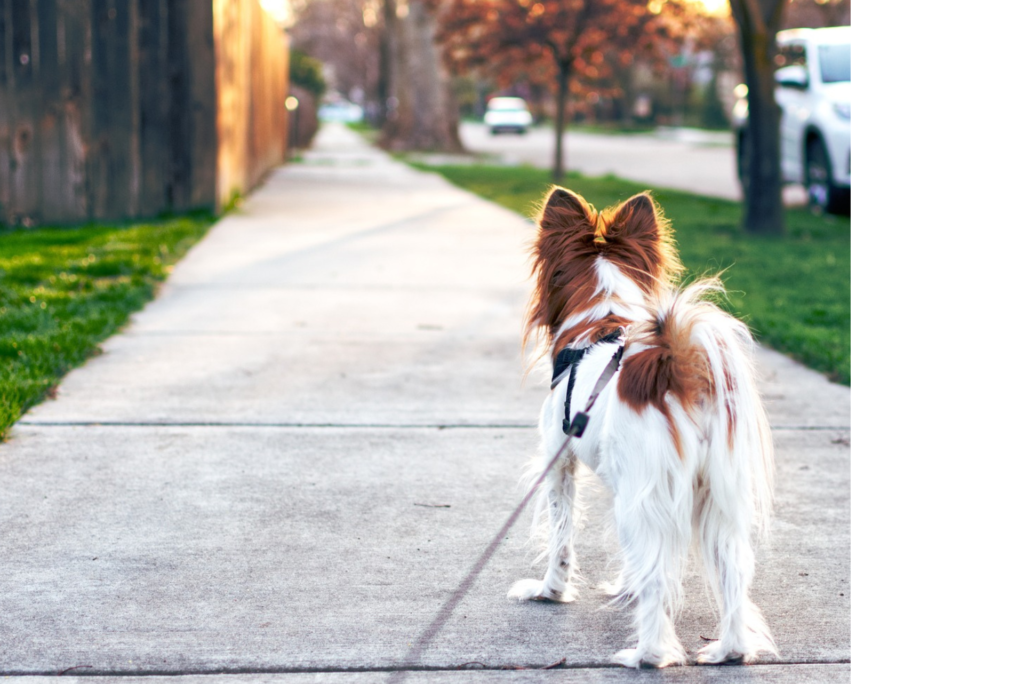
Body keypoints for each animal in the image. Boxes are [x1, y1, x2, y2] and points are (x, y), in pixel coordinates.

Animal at [512, 187, 774, 667]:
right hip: (716, 497)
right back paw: (729, 651)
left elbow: (561, 537)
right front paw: (624, 588)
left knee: (658, 577)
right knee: (733, 571)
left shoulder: (560, 463)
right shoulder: (627, 484)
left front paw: (549, 592)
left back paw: (646, 655)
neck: (602, 318)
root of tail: (677, 367)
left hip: (648, 493)